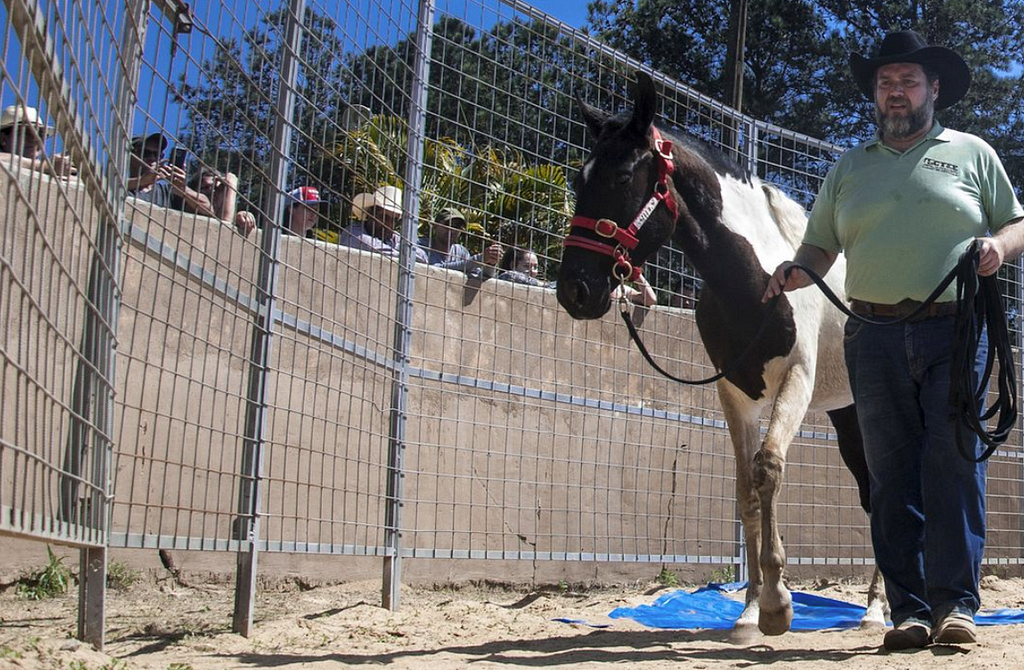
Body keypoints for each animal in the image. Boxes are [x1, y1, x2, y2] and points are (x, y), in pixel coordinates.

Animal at [561, 73, 888, 639]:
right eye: (580, 180)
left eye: (623, 176)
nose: (574, 290)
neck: (755, 281)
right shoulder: (734, 392)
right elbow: (744, 493)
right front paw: (750, 610)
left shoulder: (795, 381)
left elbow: (768, 470)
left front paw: (779, 604)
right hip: (846, 414)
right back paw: (873, 608)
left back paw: (878, 611)